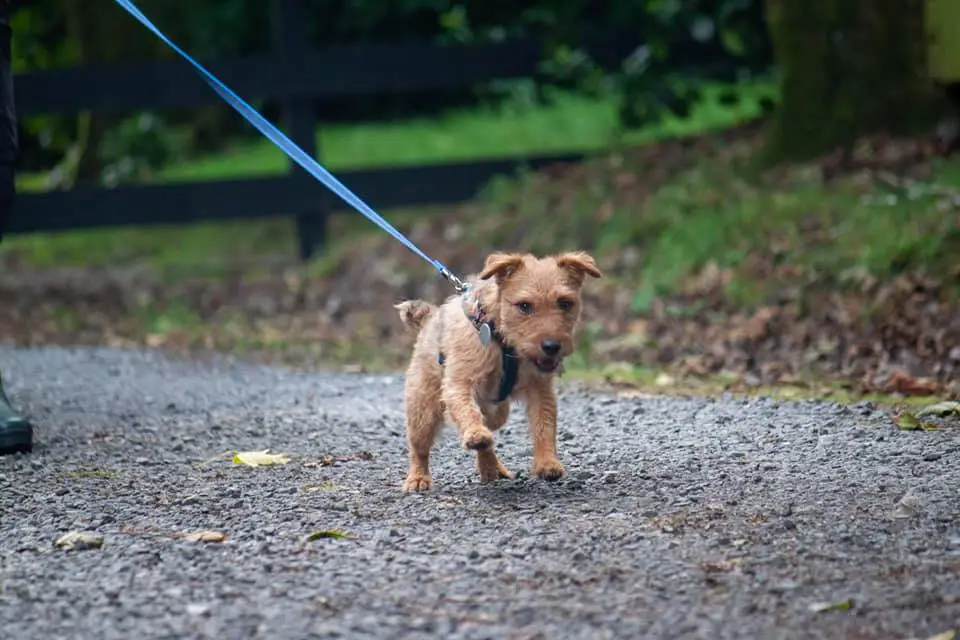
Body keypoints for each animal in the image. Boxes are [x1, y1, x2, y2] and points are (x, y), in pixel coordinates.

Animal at [390, 250, 600, 490]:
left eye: (565, 303)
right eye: (524, 306)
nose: (551, 346)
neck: (503, 342)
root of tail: (430, 317)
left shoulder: (541, 389)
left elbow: (544, 425)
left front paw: (547, 462)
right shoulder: (459, 383)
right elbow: (467, 410)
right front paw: (474, 432)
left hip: (497, 412)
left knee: (489, 435)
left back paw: (491, 467)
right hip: (422, 410)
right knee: (420, 447)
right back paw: (418, 477)